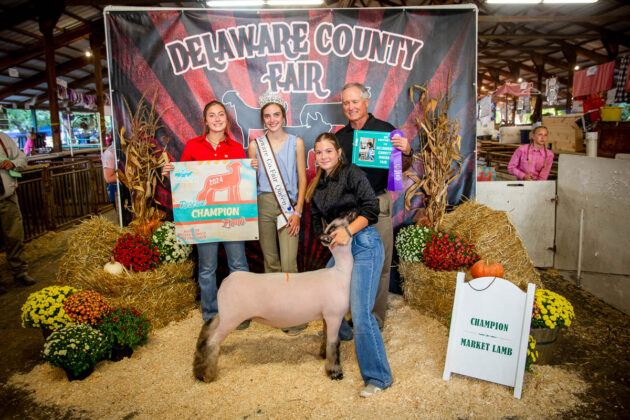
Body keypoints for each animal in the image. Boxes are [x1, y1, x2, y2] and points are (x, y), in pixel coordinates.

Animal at [193, 212, 356, 383]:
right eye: (338, 225)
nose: (352, 213)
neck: (340, 272)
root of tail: (226, 281)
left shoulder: (325, 316)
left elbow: (325, 338)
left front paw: (323, 355)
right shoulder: (334, 316)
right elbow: (333, 344)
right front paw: (335, 372)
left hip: (225, 314)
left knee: (208, 329)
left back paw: (198, 368)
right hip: (231, 318)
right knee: (212, 341)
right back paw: (205, 374)